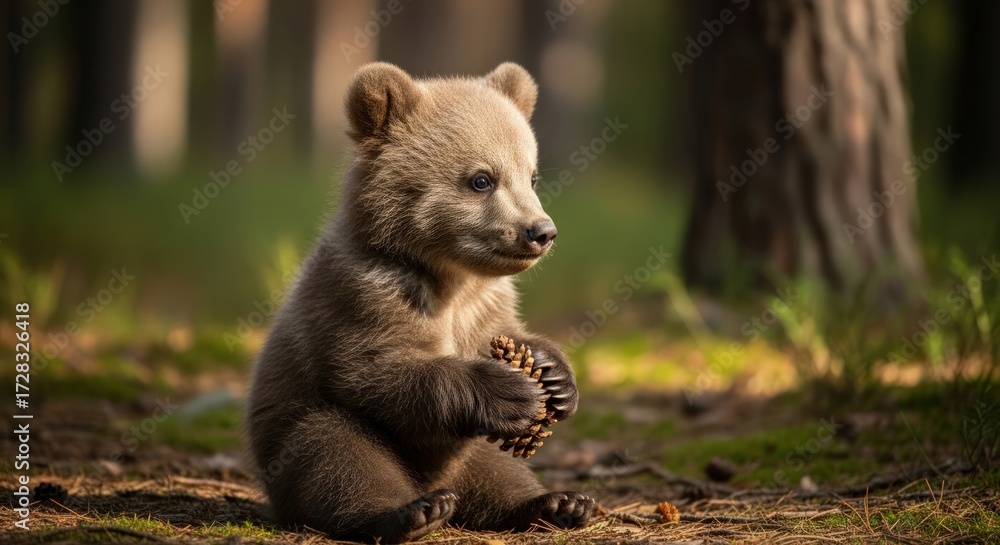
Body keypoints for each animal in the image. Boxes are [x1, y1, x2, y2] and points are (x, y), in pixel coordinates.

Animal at [246, 61, 594, 543]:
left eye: (532, 175)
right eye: (481, 179)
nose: (540, 231)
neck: (448, 275)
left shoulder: (484, 304)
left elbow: (506, 333)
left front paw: (553, 375)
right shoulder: (367, 295)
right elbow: (380, 369)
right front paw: (509, 388)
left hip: (466, 454)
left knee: (498, 472)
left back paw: (557, 502)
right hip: (294, 432)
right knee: (334, 455)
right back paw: (411, 511)